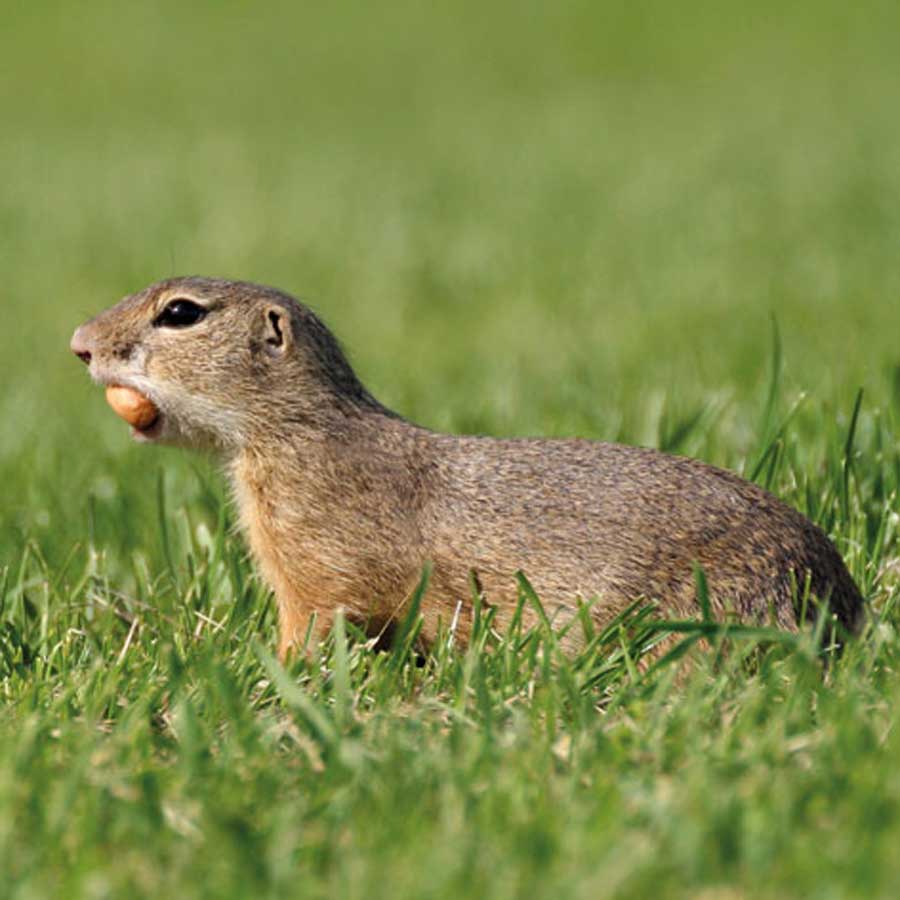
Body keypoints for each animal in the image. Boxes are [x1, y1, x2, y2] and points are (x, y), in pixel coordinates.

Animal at [72, 278, 864, 656]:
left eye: (181, 313)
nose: (79, 343)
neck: (296, 436)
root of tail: (842, 607)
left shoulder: (319, 563)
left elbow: (315, 622)